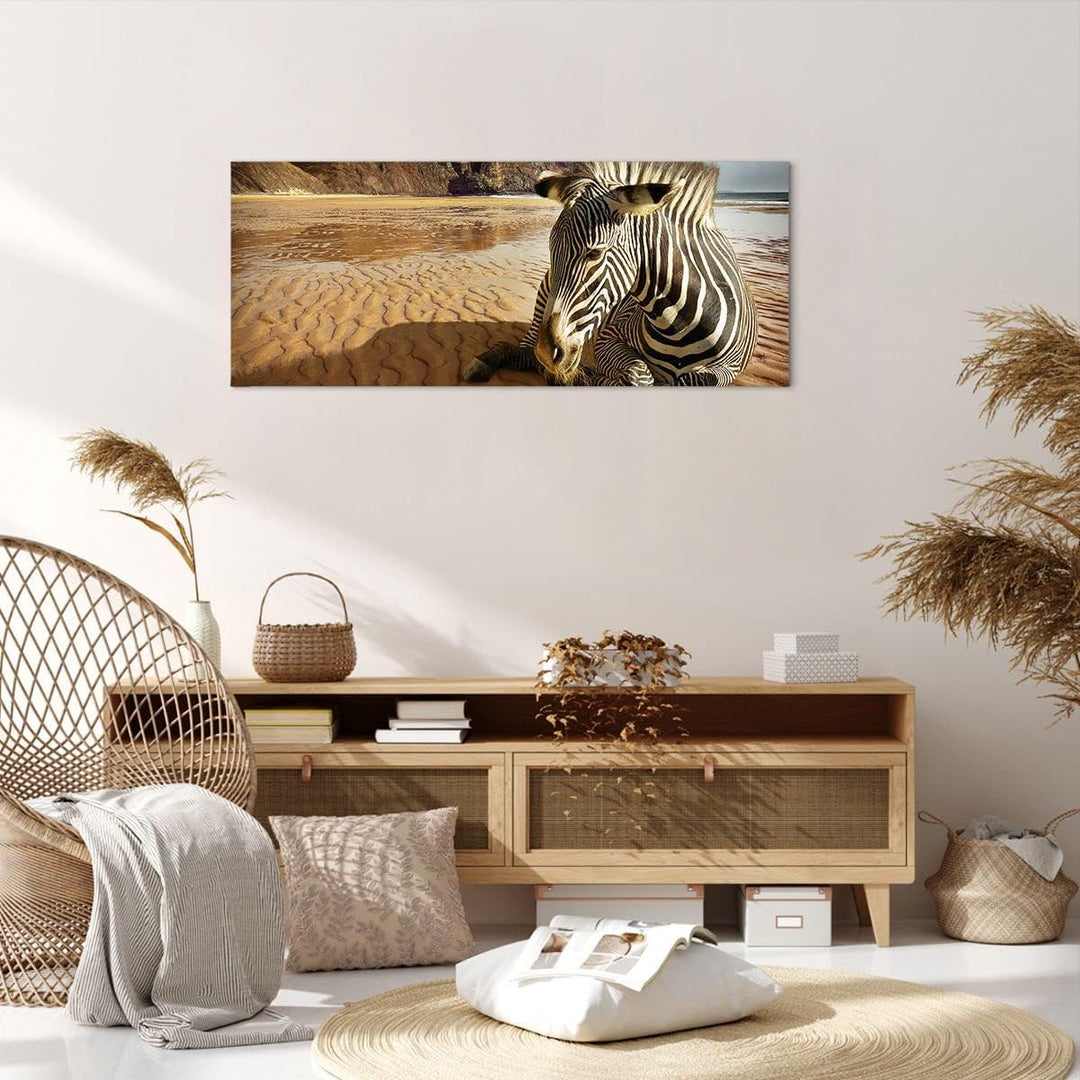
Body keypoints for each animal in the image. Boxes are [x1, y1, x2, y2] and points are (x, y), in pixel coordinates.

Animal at [462, 162, 757, 386]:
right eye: (551, 249)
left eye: (594, 254)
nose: (548, 353)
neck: (680, 324)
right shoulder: (608, 337)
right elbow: (637, 376)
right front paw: (584, 377)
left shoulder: (729, 369)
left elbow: (692, 379)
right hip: (543, 299)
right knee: (525, 352)